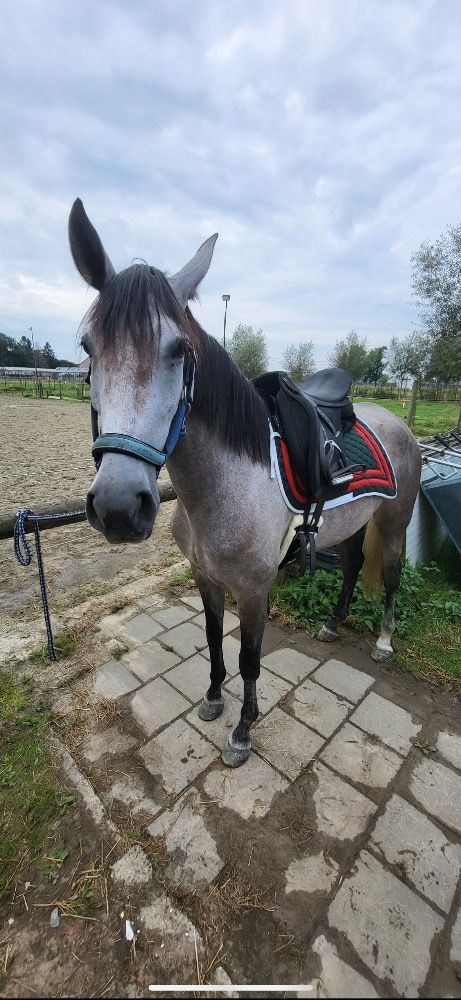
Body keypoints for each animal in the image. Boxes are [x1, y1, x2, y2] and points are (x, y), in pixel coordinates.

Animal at [69, 199, 422, 769]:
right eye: (87, 346)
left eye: (180, 350)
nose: (120, 508)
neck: (222, 487)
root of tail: (396, 422)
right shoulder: (206, 578)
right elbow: (214, 640)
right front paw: (214, 700)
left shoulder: (255, 589)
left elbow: (249, 658)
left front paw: (242, 732)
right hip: (350, 524)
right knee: (350, 567)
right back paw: (332, 624)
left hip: (393, 520)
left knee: (389, 576)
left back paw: (385, 642)